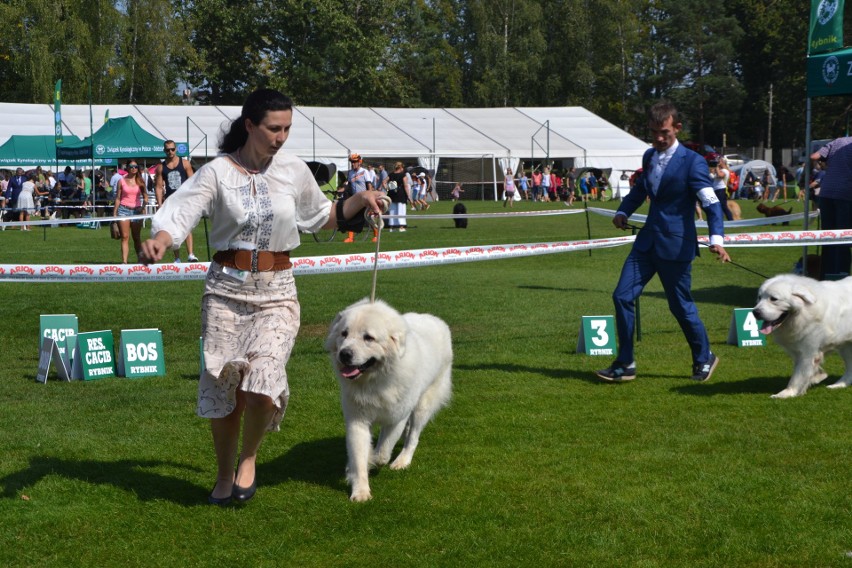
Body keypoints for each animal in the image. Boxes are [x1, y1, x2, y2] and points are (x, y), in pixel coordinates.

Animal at [322, 298, 452, 502]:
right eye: (344, 334)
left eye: (368, 338)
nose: (344, 354)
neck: (375, 380)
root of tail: (436, 320)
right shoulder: (357, 421)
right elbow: (359, 455)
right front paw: (360, 490)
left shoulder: (397, 418)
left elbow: (382, 453)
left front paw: (372, 460)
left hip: (423, 405)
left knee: (413, 437)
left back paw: (402, 461)